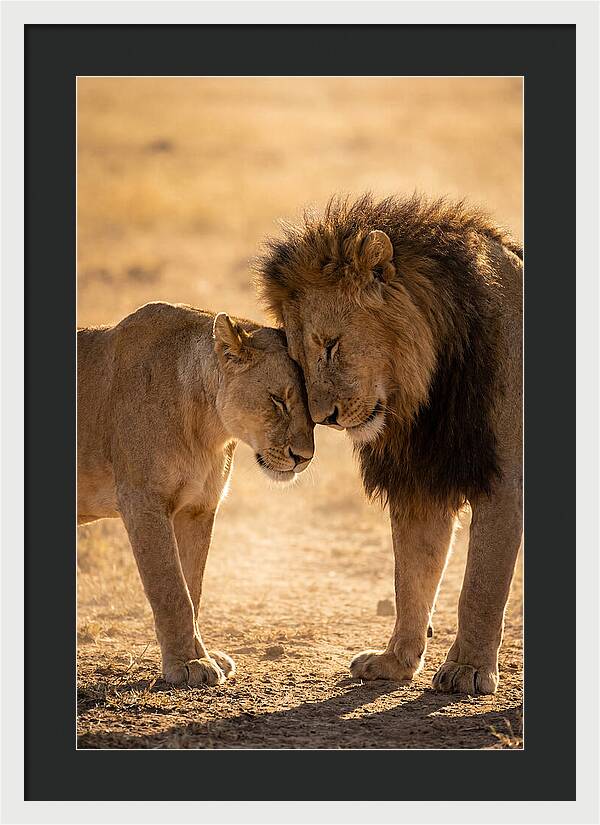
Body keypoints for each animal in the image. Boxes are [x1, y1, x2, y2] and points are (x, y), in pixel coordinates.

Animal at [77, 301, 314, 686]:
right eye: (278, 400)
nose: (304, 457)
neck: (208, 428)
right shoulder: (142, 501)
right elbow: (172, 590)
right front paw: (187, 664)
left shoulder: (198, 508)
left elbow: (193, 587)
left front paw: (203, 655)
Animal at [256, 193, 523, 695]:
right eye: (297, 360)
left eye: (331, 345)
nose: (324, 418)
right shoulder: (420, 483)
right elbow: (411, 577)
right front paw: (396, 661)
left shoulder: (504, 482)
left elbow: (480, 586)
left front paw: (468, 669)